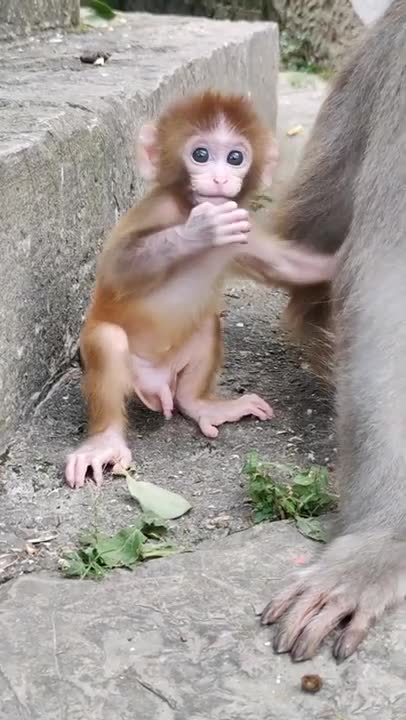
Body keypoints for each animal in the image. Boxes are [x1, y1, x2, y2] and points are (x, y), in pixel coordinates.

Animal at [65, 91, 336, 489]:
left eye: (235, 157)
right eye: (201, 154)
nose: (220, 178)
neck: (187, 204)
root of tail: (154, 383)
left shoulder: (245, 229)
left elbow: (288, 267)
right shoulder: (157, 209)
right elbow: (118, 269)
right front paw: (199, 230)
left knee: (207, 326)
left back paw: (200, 404)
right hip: (125, 362)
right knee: (108, 340)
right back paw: (105, 442)